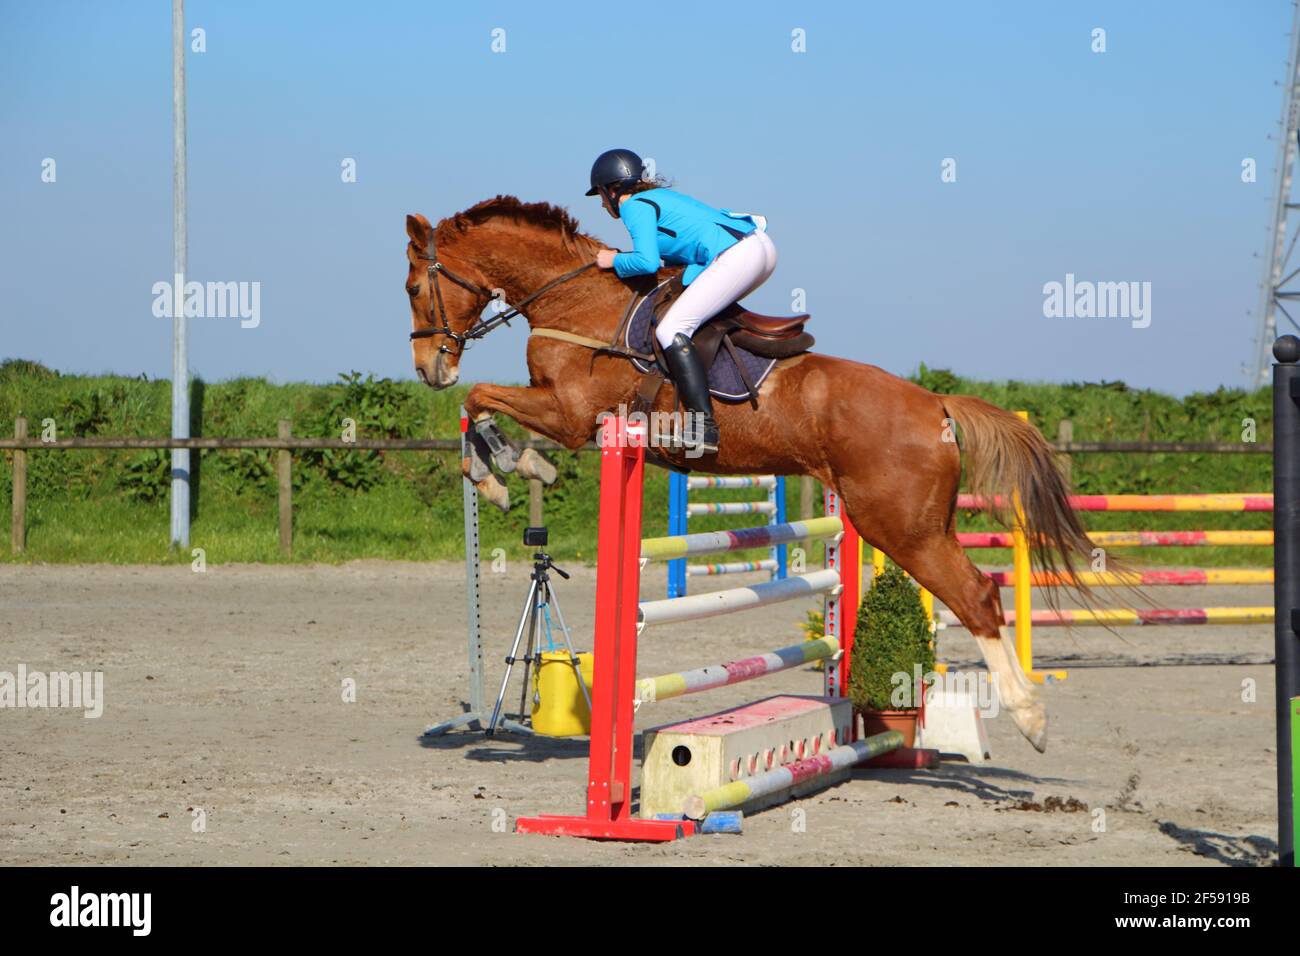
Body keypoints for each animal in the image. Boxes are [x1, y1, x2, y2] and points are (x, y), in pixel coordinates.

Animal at [400, 196, 1092, 754]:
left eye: (411, 286)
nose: (429, 369)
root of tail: (936, 405)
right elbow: (478, 405)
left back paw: (1031, 719)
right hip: (918, 523)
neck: (574, 299)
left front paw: (505, 469)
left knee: (976, 596)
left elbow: (481, 400)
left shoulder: (570, 415)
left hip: (901, 529)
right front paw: (501, 469)